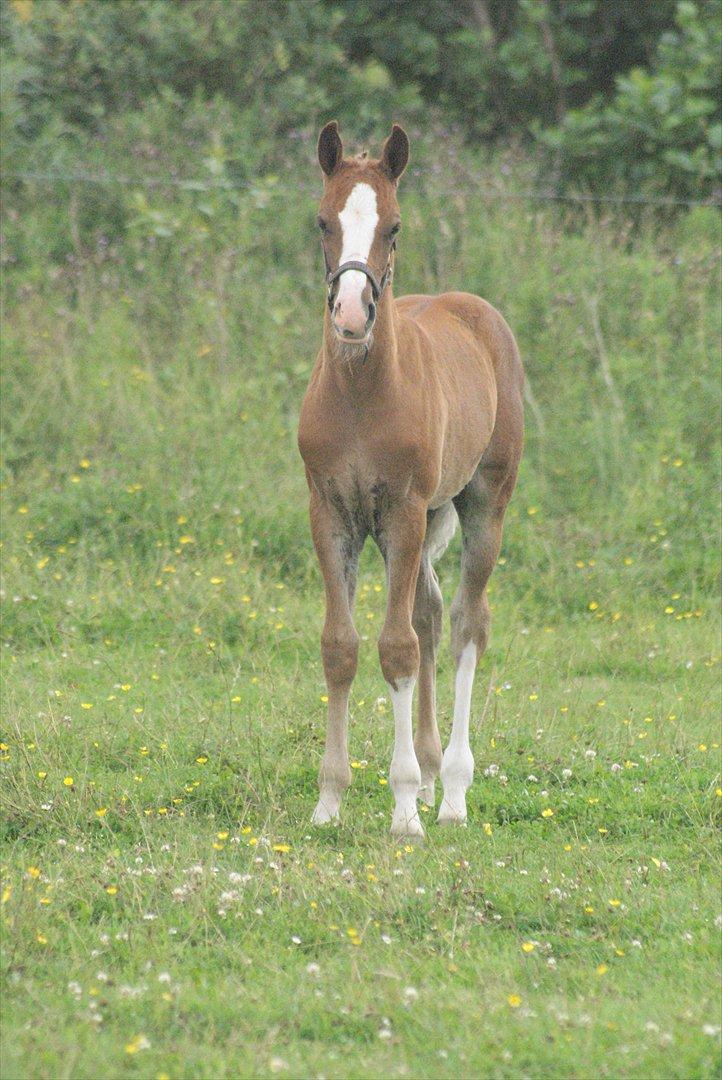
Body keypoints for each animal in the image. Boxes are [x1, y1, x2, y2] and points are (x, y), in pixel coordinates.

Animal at [297, 122, 524, 838]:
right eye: (322, 221)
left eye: (393, 227)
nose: (350, 314)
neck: (363, 397)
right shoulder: (331, 513)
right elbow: (341, 646)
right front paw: (329, 801)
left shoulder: (399, 510)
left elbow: (395, 648)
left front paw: (401, 811)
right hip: (425, 521)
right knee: (428, 613)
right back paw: (427, 774)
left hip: (481, 504)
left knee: (464, 624)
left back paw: (448, 790)